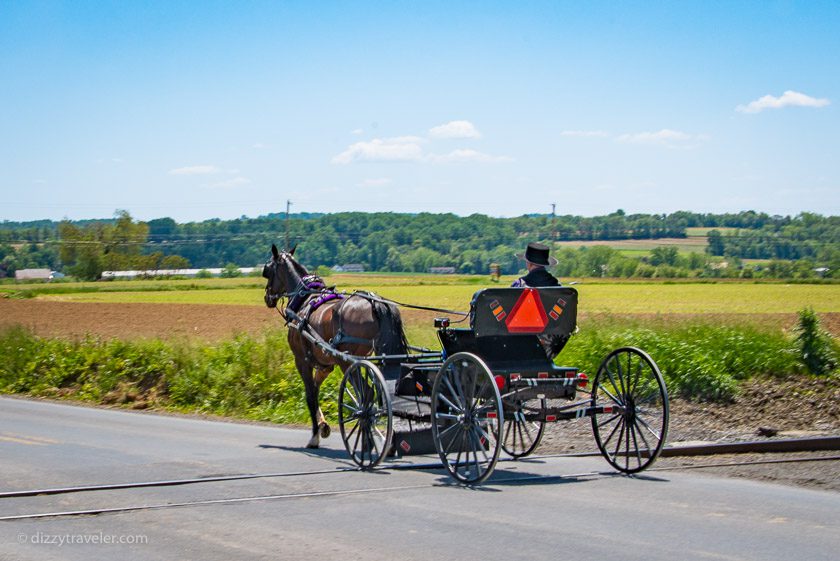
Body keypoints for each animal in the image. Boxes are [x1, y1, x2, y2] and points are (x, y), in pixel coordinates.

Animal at [260, 243, 408, 448]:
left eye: (267, 271)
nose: (267, 297)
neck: (305, 300)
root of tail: (374, 303)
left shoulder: (302, 361)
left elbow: (310, 396)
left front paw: (314, 435)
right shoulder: (325, 365)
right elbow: (315, 391)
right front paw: (323, 426)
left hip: (347, 361)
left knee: (367, 394)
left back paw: (367, 438)